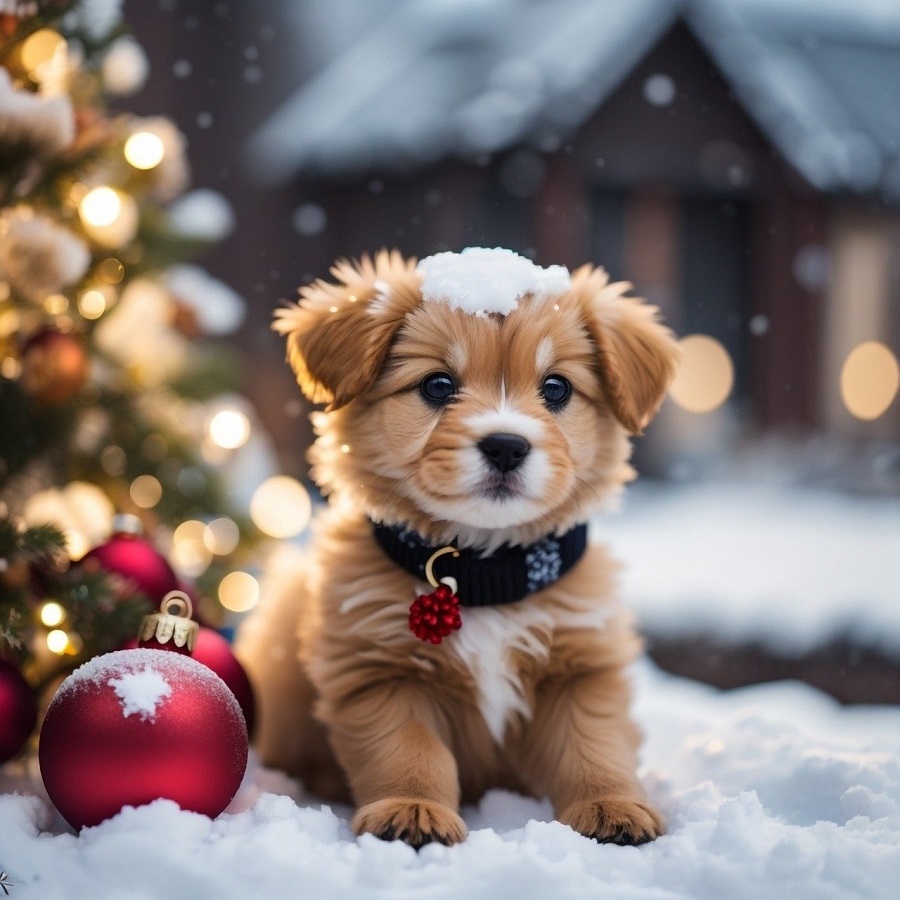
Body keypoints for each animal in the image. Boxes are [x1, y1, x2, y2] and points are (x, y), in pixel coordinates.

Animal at [236, 248, 680, 852]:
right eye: (438, 385)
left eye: (557, 388)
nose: (506, 445)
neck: (483, 571)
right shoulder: (380, 673)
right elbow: (410, 750)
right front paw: (412, 809)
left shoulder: (584, 667)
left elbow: (593, 745)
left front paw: (611, 805)